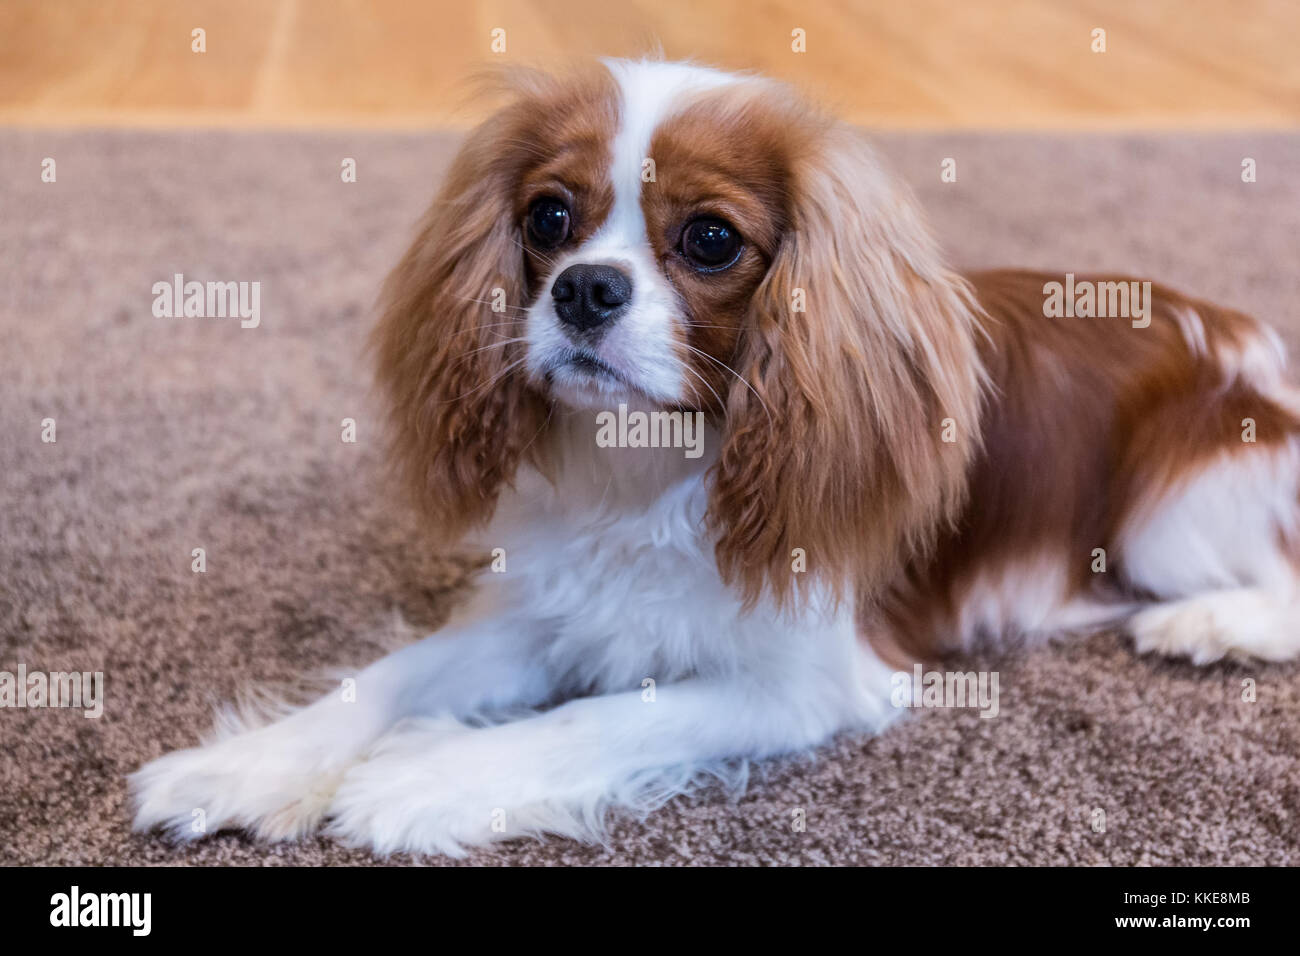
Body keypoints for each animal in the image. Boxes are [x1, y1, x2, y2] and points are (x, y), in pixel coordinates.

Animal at [129, 55, 1300, 858]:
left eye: (709, 240)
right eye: (548, 217)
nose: (584, 288)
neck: (650, 466)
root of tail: (1251, 340)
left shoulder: (807, 682)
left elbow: (602, 713)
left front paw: (424, 777)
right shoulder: (551, 609)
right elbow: (388, 674)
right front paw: (248, 763)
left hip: (1173, 511)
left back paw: (1207, 625)